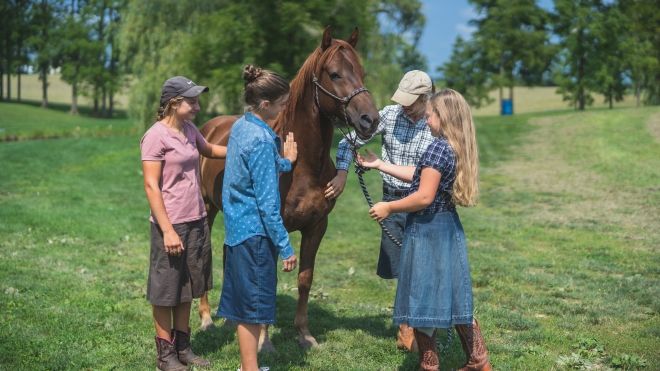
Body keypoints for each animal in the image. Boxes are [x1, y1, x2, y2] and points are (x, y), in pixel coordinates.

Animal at [196, 26, 378, 348]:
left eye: (361, 72)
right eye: (335, 74)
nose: (370, 120)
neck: (302, 166)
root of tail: (211, 127)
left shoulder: (317, 226)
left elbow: (305, 279)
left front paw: (305, 334)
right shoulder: (271, 228)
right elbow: (268, 279)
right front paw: (263, 341)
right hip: (208, 208)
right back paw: (207, 319)